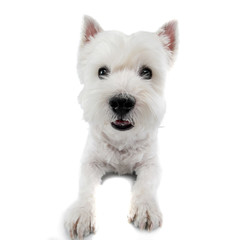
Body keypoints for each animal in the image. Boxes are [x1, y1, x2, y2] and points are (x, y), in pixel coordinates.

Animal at [64, 15, 178, 239]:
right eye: (102, 71)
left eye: (147, 72)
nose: (121, 102)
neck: (122, 140)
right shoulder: (90, 162)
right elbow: (86, 188)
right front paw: (82, 213)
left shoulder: (151, 164)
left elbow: (145, 185)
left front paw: (145, 209)